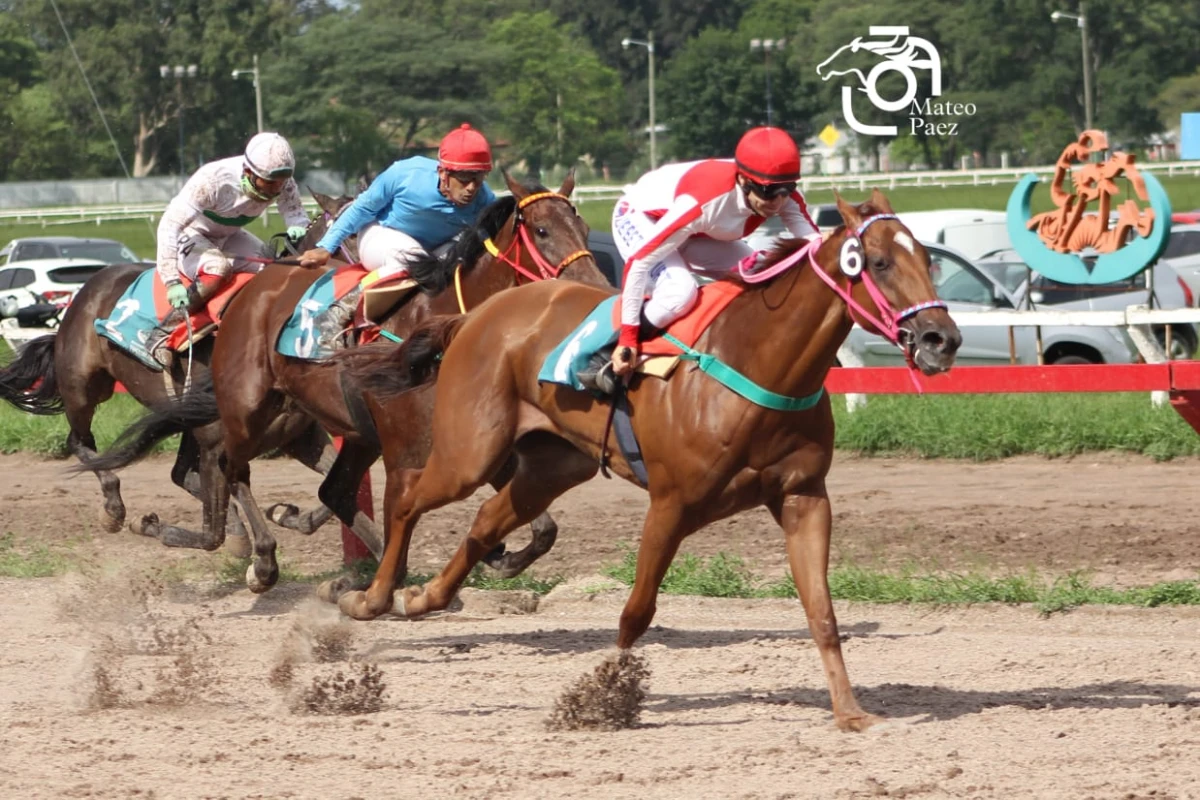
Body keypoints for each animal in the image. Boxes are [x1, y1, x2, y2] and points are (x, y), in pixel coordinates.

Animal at [0, 194, 350, 556]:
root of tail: (84, 291)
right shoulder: (218, 429)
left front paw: (287, 518)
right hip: (84, 387)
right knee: (79, 442)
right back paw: (113, 507)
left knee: (180, 474)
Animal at [84, 172, 609, 592]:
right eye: (541, 230)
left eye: (583, 228)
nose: (596, 289)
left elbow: (541, 527)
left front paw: (498, 558)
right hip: (253, 411)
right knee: (228, 465)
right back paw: (243, 553)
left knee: (325, 489)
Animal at [331, 191, 964, 734]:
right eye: (878, 262)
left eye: (927, 260)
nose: (943, 339)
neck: (757, 361)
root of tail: (473, 317)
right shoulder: (672, 503)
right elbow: (636, 612)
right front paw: (602, 693)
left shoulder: (804, 496)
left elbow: (823, 613)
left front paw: (851, 711)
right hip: (469, 452)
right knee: (408, 500)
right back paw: (371, 597)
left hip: (552, 467)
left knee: (486, 522)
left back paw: (425, 597)